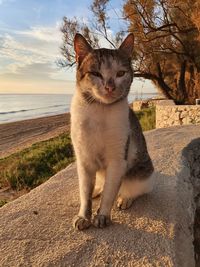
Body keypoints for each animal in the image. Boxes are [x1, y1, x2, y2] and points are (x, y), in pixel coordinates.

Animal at [71, 33, 154, 230]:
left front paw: (102, 216)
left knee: (132, 188)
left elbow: (110, 193)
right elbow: (85, 192)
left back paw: (125, 198)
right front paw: (83, 216)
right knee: (100, 184)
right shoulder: (84, 159)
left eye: (120, 73)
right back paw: (97, 190)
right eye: (95, 73)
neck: (99, 111)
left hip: (142, 172)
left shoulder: (117, 160)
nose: (110, 87)